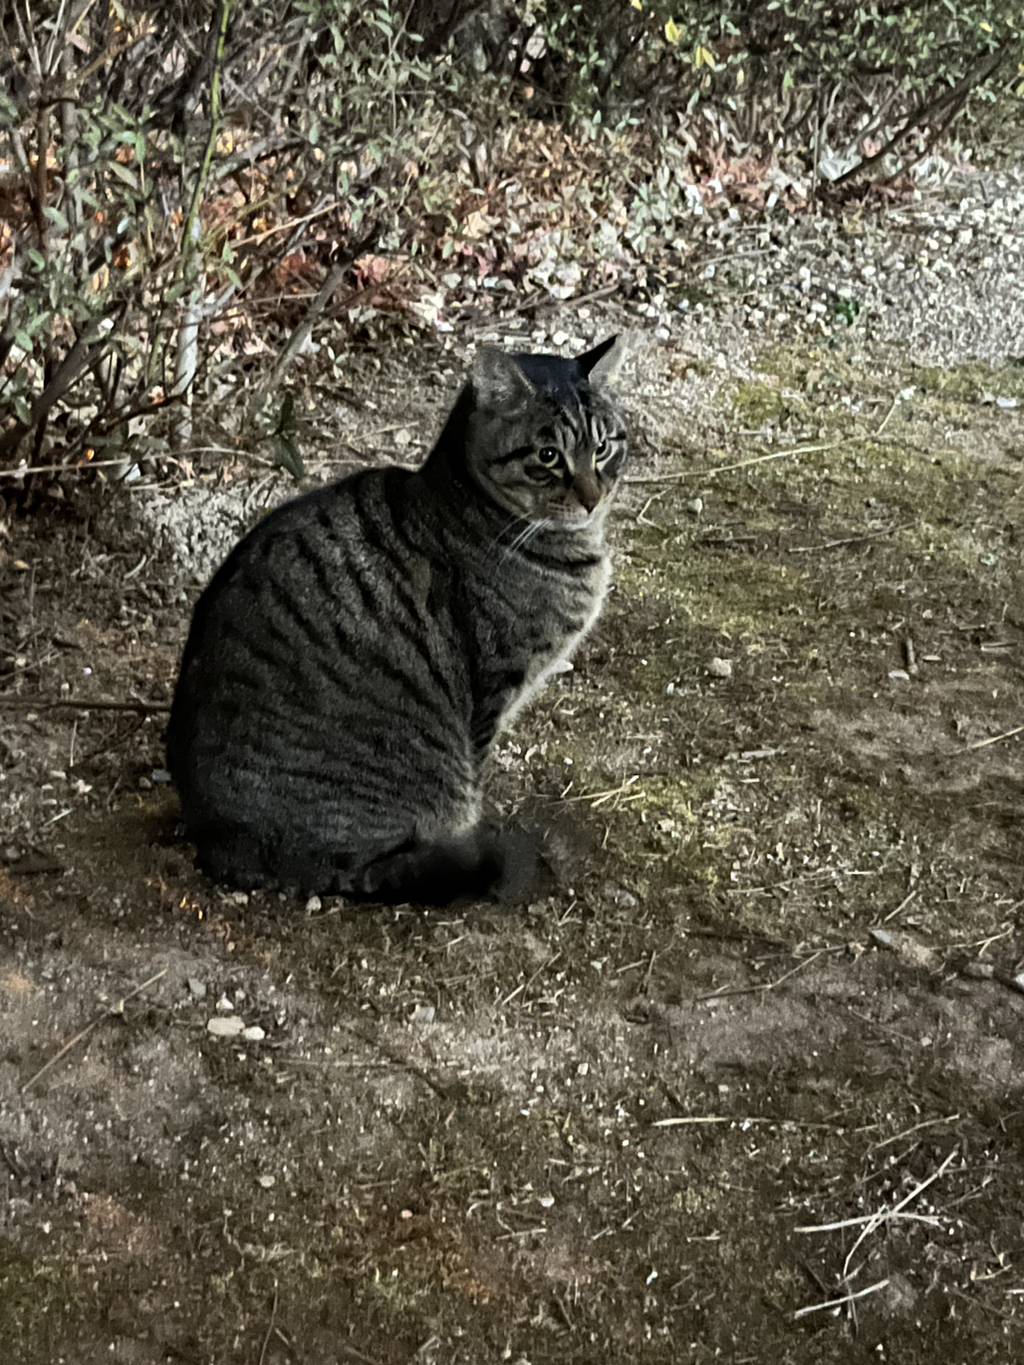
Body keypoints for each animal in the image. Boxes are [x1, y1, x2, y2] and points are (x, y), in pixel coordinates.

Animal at [166, 334, 633, 900]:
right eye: (548, 456)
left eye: (603, 446)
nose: (593, 497)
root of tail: (218, 842)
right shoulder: (493, 692)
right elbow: (478, 772)